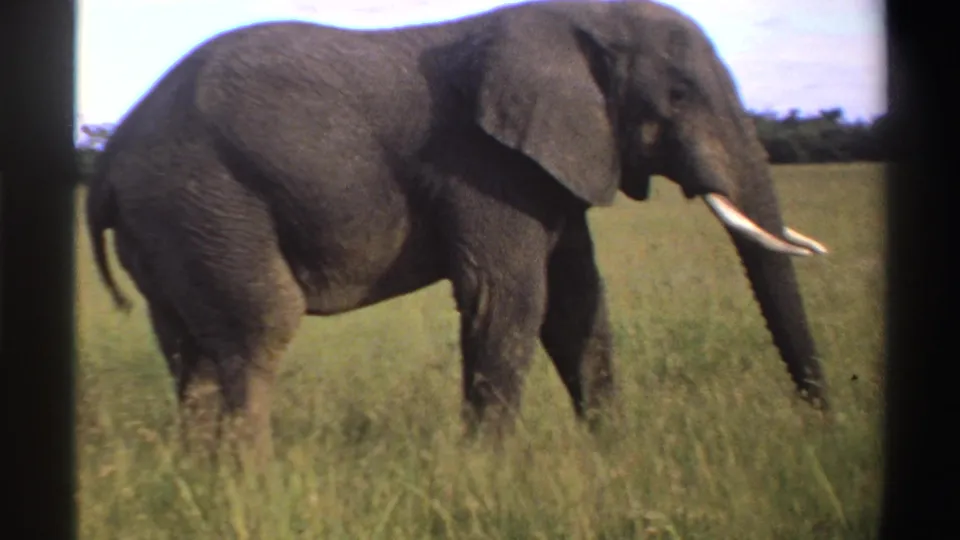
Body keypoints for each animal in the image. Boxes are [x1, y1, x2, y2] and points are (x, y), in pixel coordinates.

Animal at [85, 0, 830, 462]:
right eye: (677, 96)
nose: (822, 423)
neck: (576, 17)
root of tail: (110, 155)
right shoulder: (481, 164)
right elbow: (509, 299)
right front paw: (490, 470)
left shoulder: (545, 166)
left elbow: (577, 304)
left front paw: (614, 452)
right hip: (207, 199)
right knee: (257, 331)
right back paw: (254, 482)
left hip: (171, 224)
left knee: (191, 352)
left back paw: (203, 476)